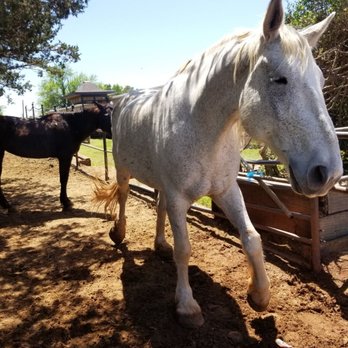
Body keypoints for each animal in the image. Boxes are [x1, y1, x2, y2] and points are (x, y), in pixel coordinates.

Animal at [95, 0, 342, 326]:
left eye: (321, 80)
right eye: (280, 79)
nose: (329, 173)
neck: (202, 127)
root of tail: (123, 99)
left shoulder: (227, 190)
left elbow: (252, 237)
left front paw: (259, 294)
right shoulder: (178, 197)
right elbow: (185, 249)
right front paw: (187, 306)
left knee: (158, 207)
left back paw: (160, 244)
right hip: (124, 170)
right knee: (123, 198)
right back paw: (119, 233)